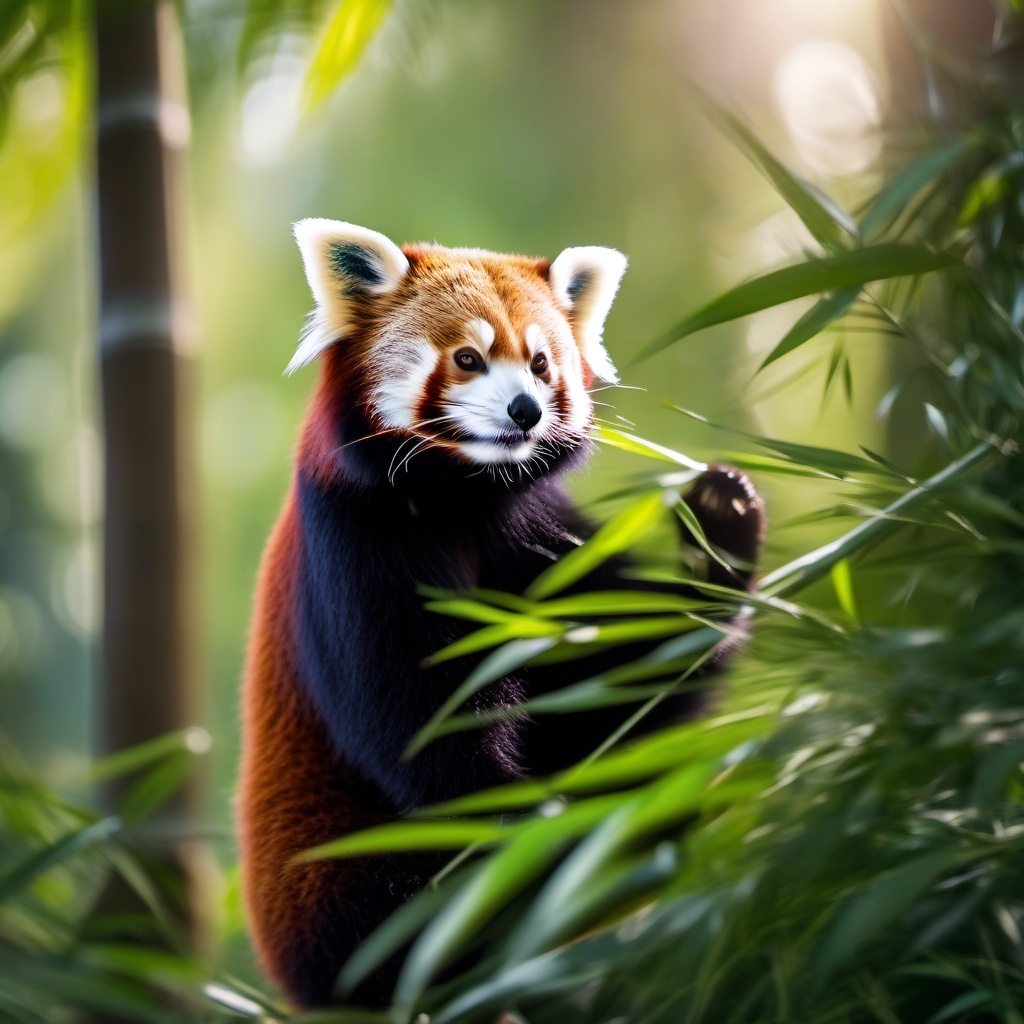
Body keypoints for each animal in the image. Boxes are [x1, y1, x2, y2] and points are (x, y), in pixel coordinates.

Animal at [237, 222, 770, 1007]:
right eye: (468, 358)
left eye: (542, 363)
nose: (526, 410)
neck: (463, 496)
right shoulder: (357, 544)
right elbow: (424, 724)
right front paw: (517, 829)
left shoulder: (536, 536)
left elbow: (620, 668)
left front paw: (719, 528)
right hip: (331, 875)